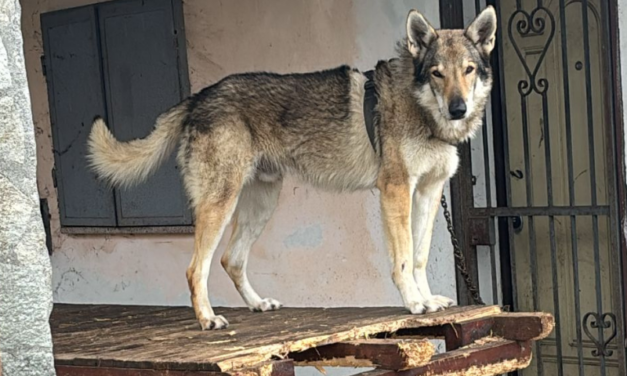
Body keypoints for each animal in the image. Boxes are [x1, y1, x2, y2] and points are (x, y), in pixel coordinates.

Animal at [88, 5, 498, 328]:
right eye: (437, 73)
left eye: (468, 70)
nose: (458, 108)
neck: (423, 110)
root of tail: (198, 97)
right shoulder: (396, 191)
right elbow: (402, 259)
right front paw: (414, 303)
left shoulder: (428, 192)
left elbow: (419, 256)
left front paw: (428, 300)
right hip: (221, 204)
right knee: (195, 268)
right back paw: (207, 319)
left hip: (262, 204)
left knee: (231, 259)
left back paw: (258, 305)